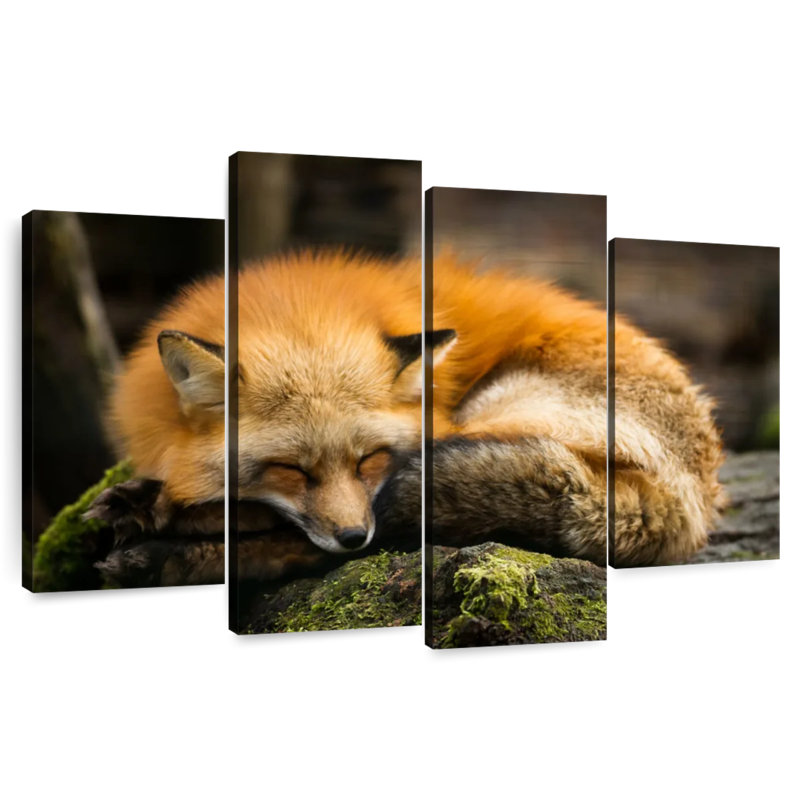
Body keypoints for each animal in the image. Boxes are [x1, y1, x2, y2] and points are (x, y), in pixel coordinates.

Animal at [88, 249, 724, 587]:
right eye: (291, 470)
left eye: (369, 459)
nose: (351, 535)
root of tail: (697, 498)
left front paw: (162, 511)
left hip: (493, 419)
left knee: (330, 543)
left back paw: (165, 547)